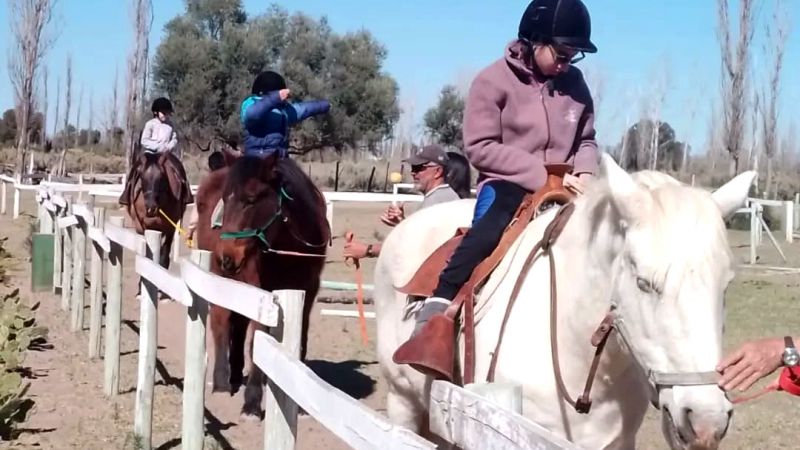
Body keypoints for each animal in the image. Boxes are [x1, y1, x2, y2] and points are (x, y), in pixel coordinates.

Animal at [194, 151, 329, 419]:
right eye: (225, 199)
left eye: (251, 199)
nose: (227, 256)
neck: (288, 252)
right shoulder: (263, 295)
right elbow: (257, 339)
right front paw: (253, 402)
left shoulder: (307, 292)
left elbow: (300, 337)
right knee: (221, 320)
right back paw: (222, 381)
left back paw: (236, 374)